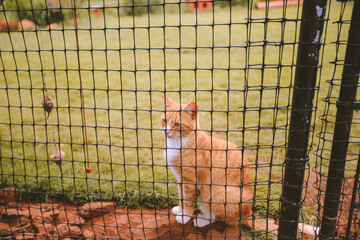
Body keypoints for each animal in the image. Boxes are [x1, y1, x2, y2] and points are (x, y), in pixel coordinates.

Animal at [162, 95, 316, 236]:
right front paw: (180, 210)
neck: (179, 142)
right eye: (164, 120)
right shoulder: (181, 180)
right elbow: (181, 198)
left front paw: (185, 216)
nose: (166, 131)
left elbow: (188, 201)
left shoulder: (190, 182)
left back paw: (201, 220)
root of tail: (248, 213)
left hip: (217, 192)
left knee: (217, 216)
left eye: (177, 124)